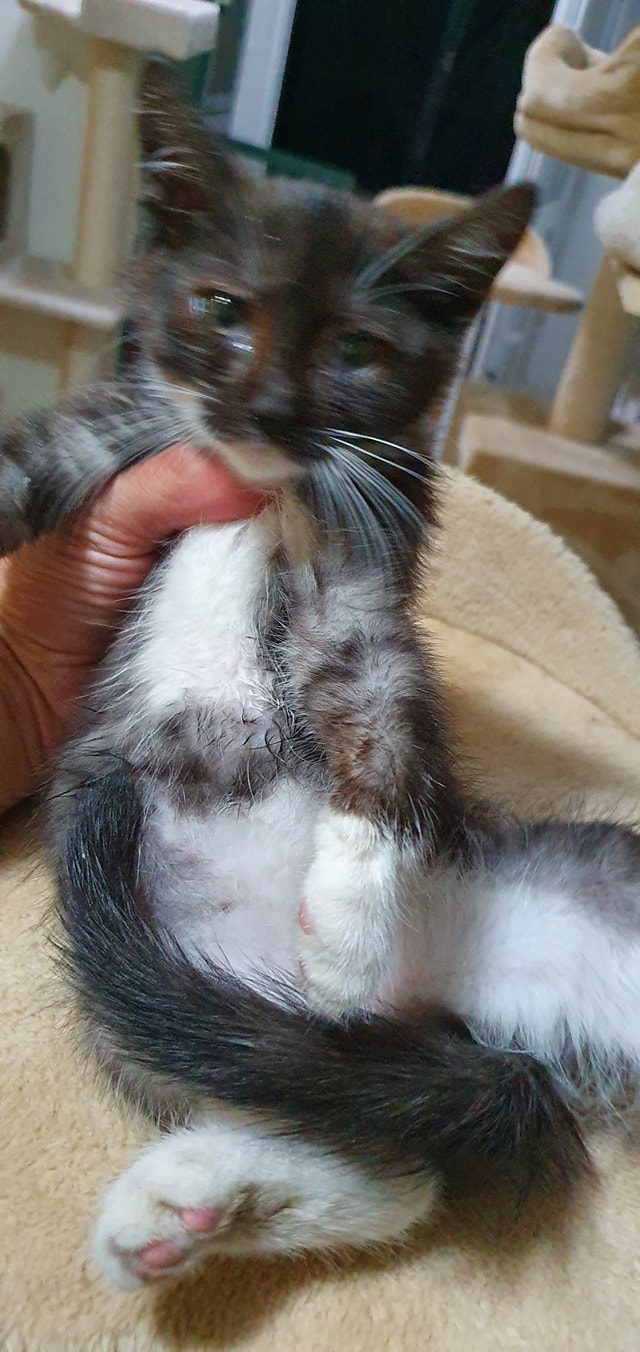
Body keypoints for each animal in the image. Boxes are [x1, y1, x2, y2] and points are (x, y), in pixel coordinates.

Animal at [1, 63, 639, 1292]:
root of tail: (445, 997)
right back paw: (188, 1207)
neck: (265, 492)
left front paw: (345, 925)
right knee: (377, 1151)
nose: (269, 411)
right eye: (220, 309)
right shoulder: (121, 444)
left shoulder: (365, 587)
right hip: (152, 999)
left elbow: (383, 707)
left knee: (399, 1152)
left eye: (356, 350)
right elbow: (29, 463)